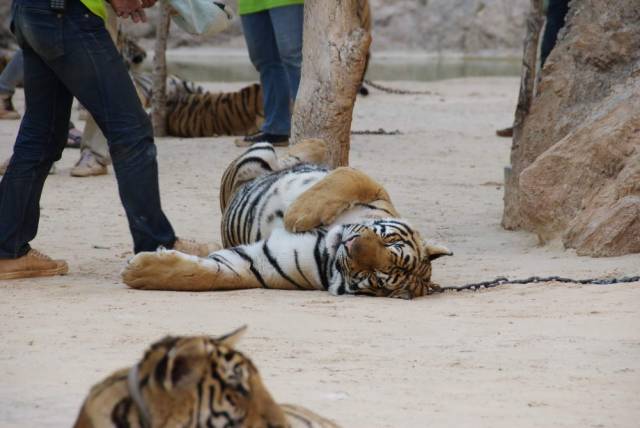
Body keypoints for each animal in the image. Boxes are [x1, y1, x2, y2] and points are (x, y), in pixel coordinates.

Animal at [121, 139, 450, 300]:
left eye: (378, 276)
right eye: (388, 239)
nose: (351, 244)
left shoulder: (256, 265)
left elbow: (207, 275)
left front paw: (137, 271)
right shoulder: (378, 193)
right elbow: (346, 176)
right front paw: (297, 213)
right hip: (262, 151)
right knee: (293, 155)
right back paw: (312, 145)